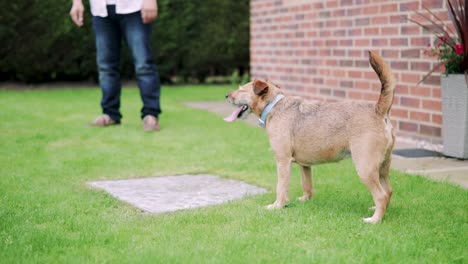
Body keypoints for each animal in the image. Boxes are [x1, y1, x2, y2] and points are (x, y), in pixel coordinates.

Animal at [225, 51, 394, 223]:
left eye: (241, 90)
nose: (226, 95)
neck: (274, 106)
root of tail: (378, 110)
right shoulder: (304, 165)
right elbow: (307, 184)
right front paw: (305, 200)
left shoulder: (282, 161)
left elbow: (281, 186)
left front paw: (277, 206)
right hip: (382, 167)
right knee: (388, 192)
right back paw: (378, 211)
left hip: (365, 168)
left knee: (381, 195)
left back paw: (374, 220)